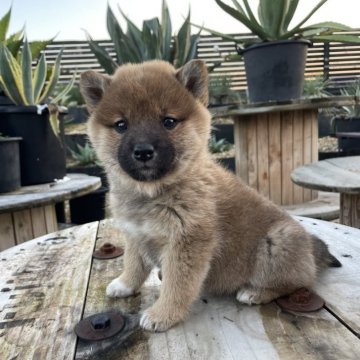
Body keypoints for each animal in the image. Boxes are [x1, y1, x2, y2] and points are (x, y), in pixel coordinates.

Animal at [79, 59, 340, 332]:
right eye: (121, 125)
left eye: (168, 122)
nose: (143, 151)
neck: (154, 194)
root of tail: (310, 250)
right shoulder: (135, 235)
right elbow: (134, 265)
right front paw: (125, 284)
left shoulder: (187, 243)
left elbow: (177, 285)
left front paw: (163, 313)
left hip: (277, 243)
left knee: (298, 282)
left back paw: (255, 292)